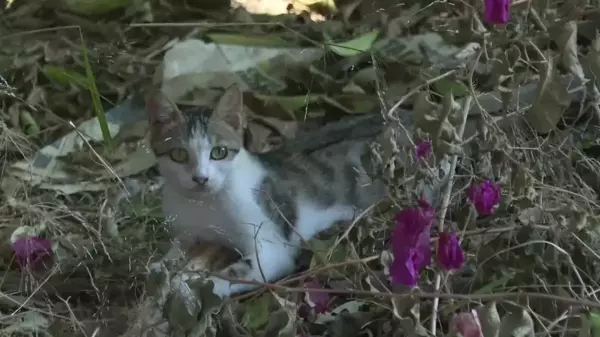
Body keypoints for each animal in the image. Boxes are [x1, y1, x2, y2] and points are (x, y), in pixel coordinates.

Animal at [148, 85, 386, 298]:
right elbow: (179, 245)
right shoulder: (188, 228)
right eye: (178, 154)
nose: (201, 179)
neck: (203, 206)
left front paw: (190, 288)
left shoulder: (274, 249)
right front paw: (162, 264)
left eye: (219, 152)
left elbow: (235, 273)